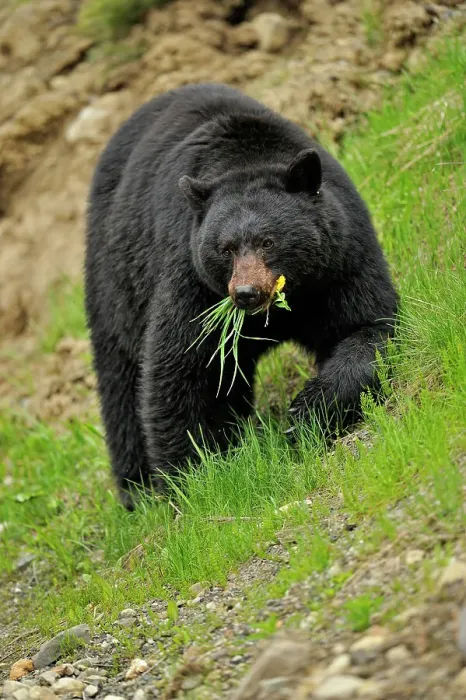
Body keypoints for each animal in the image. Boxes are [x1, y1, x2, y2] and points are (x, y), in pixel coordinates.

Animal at [84, 83, 398, 509]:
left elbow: (369, 326)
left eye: (268, 240)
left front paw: (307, 413)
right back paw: (138, 490)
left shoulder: (341, 259)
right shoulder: (191, 279)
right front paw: (191, 481)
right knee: (119, 380)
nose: (247, 293)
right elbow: (180, 369)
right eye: (226, 248)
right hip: (114, 279)